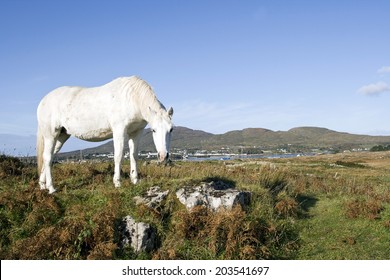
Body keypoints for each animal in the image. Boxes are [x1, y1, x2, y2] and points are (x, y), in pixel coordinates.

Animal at [37, 76, 174, 195]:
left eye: (171, 130)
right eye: (154, 130)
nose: (163, 156)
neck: (132, 98)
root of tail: (43, 101)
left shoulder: (136, 132)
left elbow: (134, 156)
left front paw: (135, 180)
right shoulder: (119, 130)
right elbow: (118, 156)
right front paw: (117, 183)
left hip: (62, 135)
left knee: (49, 156)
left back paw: (42, 185)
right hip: (51, 134)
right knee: (48, 157)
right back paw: (51, 188)